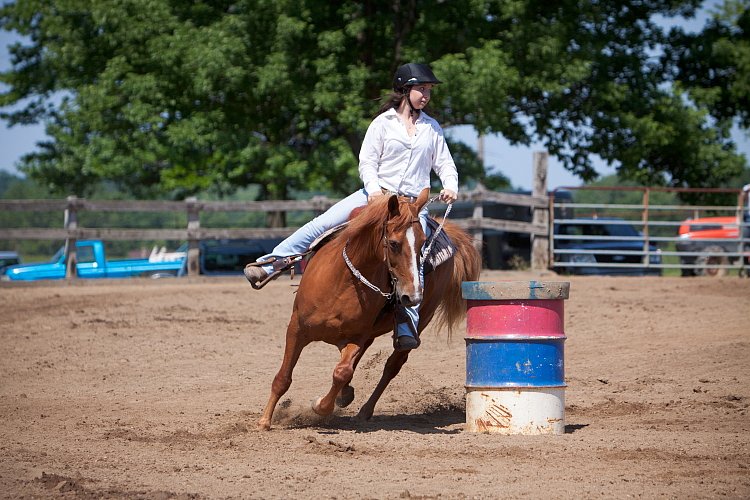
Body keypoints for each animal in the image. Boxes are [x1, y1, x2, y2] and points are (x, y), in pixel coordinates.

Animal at [258, 188, 482, 430]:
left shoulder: (357, 337)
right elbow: (283, 378)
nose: (413, 296)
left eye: (423, 244)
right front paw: (264, 421)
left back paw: (364, 410)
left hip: (418, 323)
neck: (343, 282)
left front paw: (320, 406)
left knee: (392, 366)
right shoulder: (297, 328)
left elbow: (342, 372)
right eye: (393, 243)